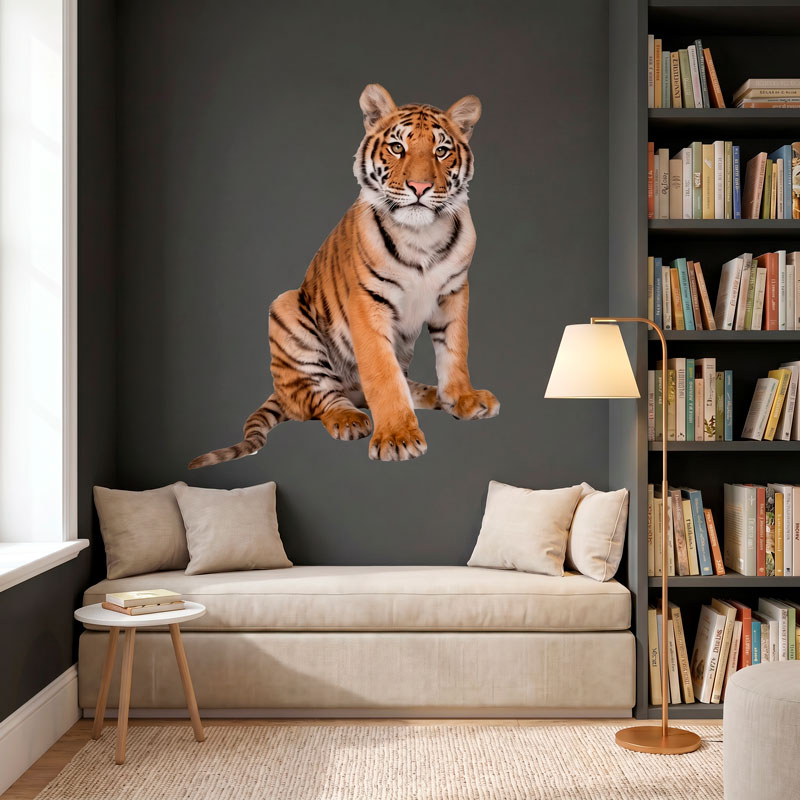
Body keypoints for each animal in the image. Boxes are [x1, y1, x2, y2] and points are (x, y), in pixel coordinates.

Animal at [189, 83, 499, 467]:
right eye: (398, 147)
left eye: (441, 151)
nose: (419, 187)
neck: (421, 235)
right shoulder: (368, 302)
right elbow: (382, 373)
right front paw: (397, 436)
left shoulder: (453, 293)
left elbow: (455, 350)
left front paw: (463, 398)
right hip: (287, 310)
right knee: (320, 398)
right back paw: (349, 418)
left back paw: (433, 395)